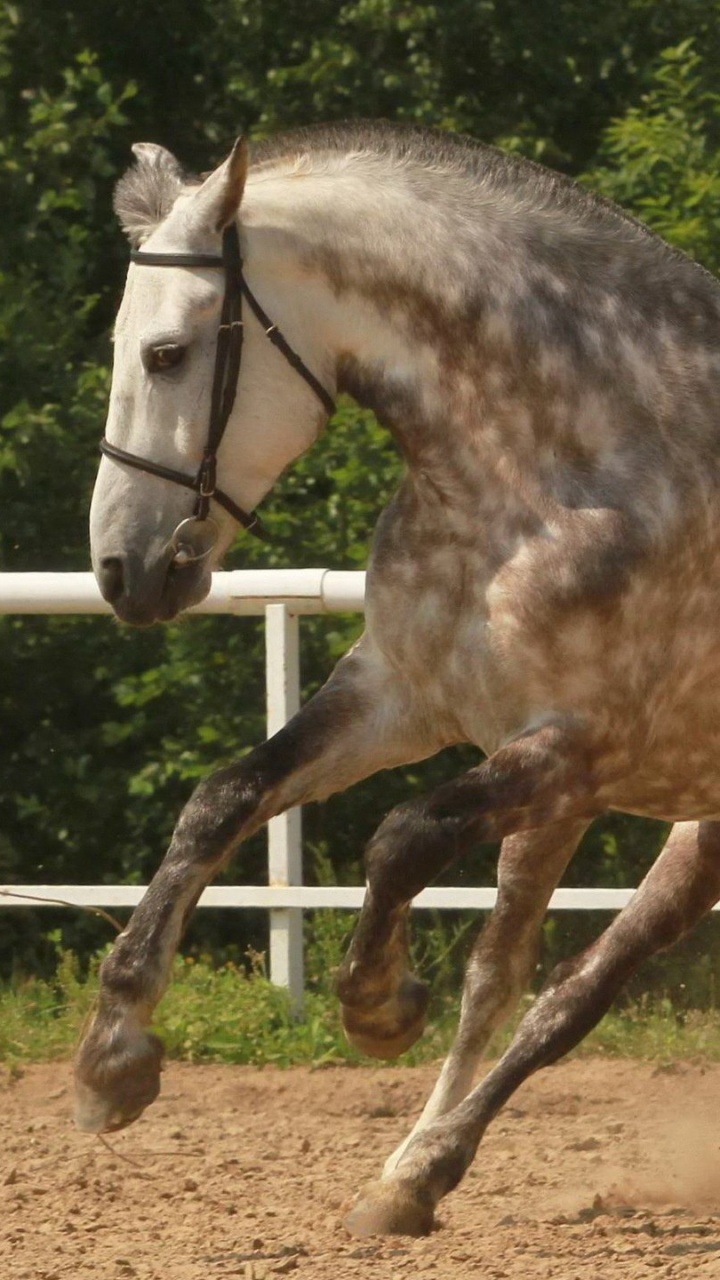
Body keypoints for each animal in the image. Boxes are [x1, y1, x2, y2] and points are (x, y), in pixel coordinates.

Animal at [76, 123, 720, 1237]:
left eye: (167, 354)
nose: (122, 570)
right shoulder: (399, 697)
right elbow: (223, 799)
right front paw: (114, 1055)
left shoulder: (579, 749)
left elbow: (401, 835)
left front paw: (377, 1002)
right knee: (534, 984)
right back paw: (410, 1173)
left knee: (569, 988)